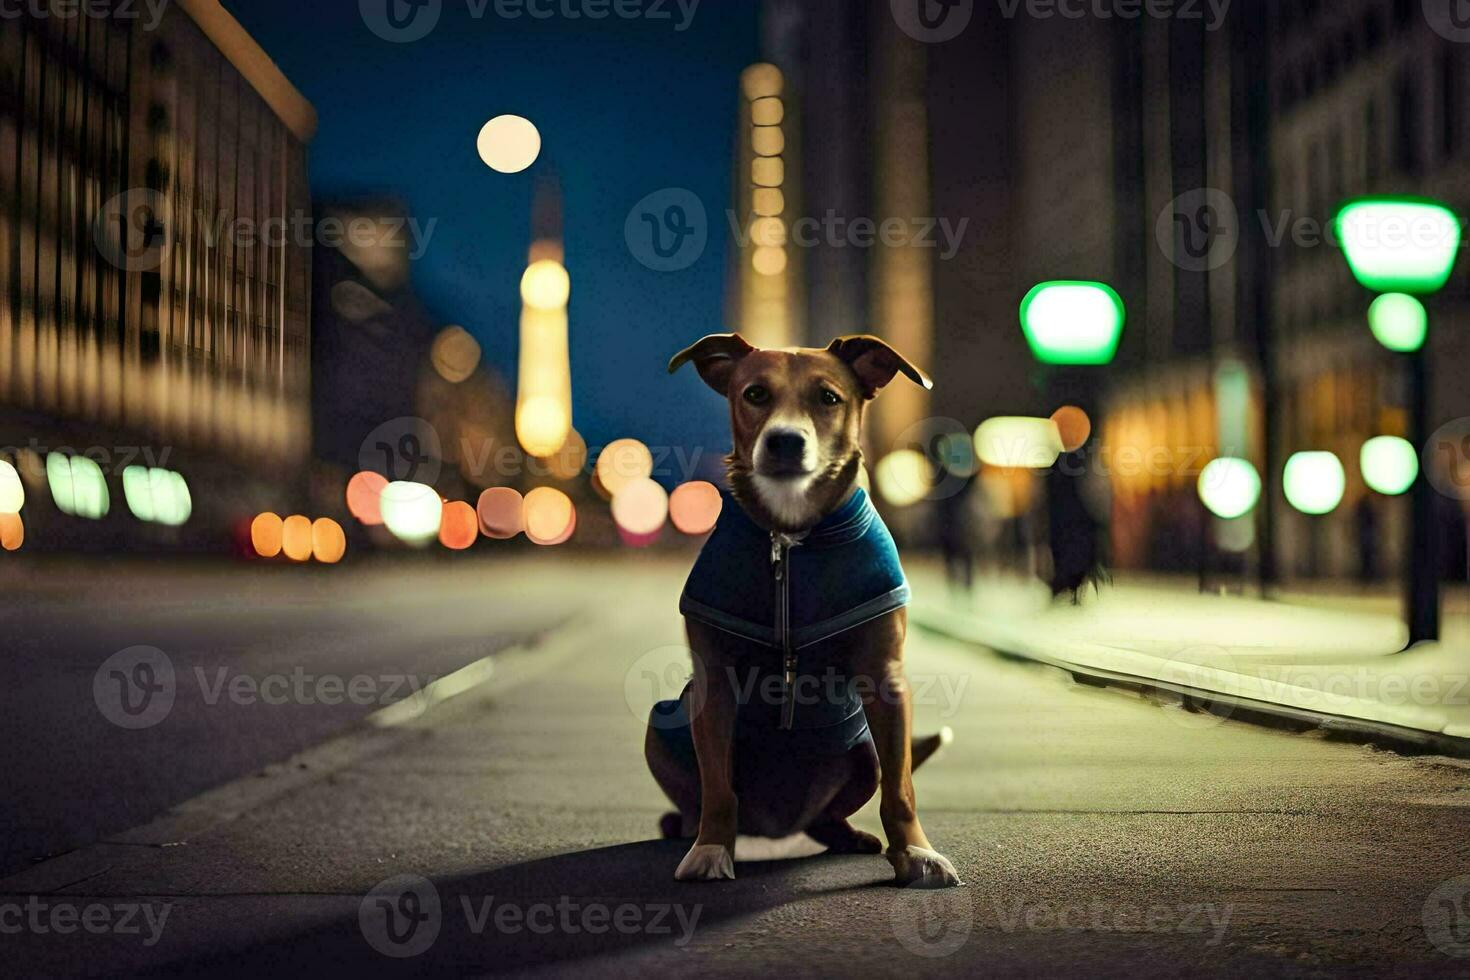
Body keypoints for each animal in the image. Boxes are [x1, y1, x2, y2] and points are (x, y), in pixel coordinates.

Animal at [646, 333, 964, 893]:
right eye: (754, 393)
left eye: (828, 397)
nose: (785, 441)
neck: (790, 533)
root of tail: (777, 828)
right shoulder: (712, 683)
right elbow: (718, 788)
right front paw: (709, 850)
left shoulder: (886, 677)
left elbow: (901, 788)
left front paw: (917, 854)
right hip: (660, 725)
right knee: (693, 804)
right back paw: (685, 830)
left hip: (863, 753)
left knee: (830, 815)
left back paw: (849, 835)